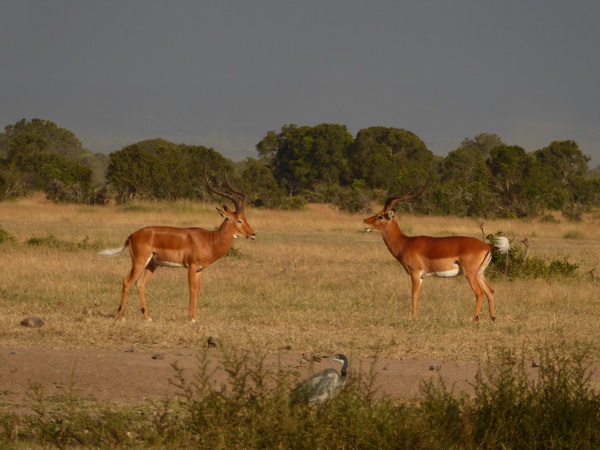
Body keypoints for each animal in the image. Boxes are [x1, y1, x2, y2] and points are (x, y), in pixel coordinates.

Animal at [99, 173, 254, 324]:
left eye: (245, 218)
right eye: (239, 220)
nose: (253, 234)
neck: (210, 240)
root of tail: (131, 235)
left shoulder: (199, 270)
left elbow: (198, 290)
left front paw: (196, 317)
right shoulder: (191, 266)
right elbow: (192, 289)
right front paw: (191, 319)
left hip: (152, 264)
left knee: (140, 284)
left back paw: (148, 317)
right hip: (139, 262)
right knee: (127, 281)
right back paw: (121, 316)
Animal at [364, 192, 508, 322]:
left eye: (380, 216)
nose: (365, 220)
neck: (405, 243)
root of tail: (488, 246)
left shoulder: (415, 273)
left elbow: (414, 294)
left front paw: (413, 317)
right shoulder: (421, 276)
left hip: (470, 274)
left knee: (479, 293)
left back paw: (474, 319)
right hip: (480, 273)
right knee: (490, 291)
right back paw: (492, 318)